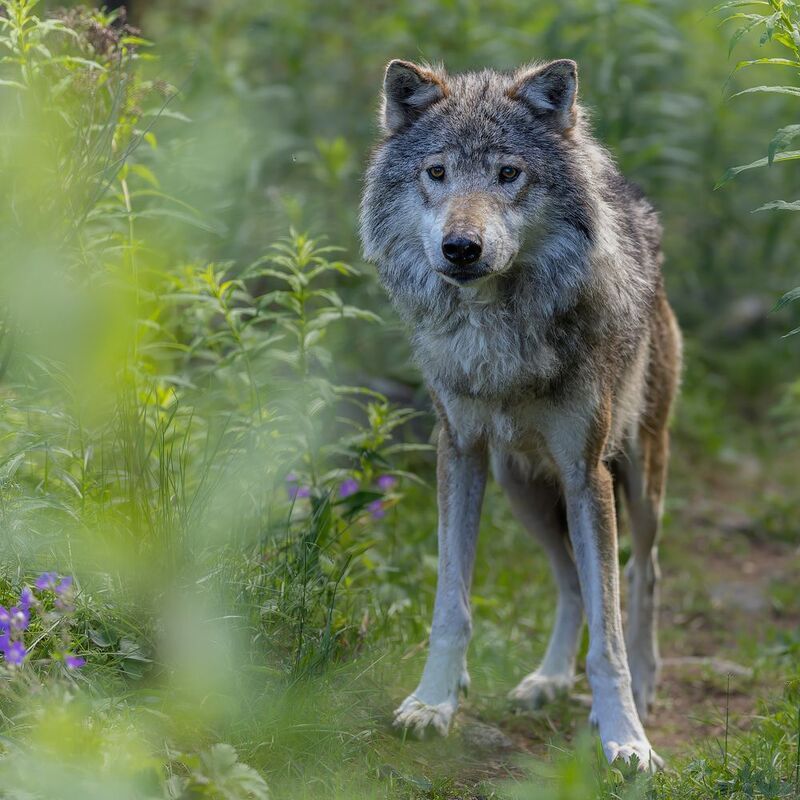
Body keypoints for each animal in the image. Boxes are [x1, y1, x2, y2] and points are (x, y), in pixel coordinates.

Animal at [360, 58, 681, 770]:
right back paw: (549, 680)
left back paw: (646, 688)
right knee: (571, 583)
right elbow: (452, 606)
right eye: (437, 172)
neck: (497, 332)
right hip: (522, 487)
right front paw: (433, 702)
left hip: (637, 479)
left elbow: (610, 638)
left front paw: (626, 740)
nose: (461, 247)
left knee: (642, 574)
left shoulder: (586, 472)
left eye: (509, 173)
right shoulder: (459, 452)